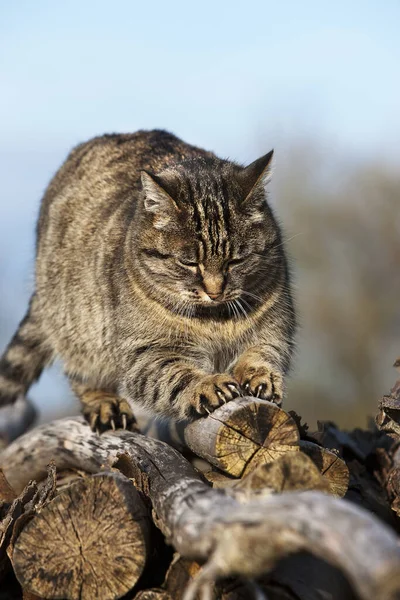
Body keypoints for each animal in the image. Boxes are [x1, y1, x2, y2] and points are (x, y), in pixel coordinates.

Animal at [0, 130, 294, 432]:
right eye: (189, 263)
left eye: (236, 260)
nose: (215, 291)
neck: (215, 320)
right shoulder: (146, 353)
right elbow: (175, 377)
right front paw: (207, 384)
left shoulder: (274, 330)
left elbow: (262, 353)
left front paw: (260, 376)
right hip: (78, 327)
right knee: (83, 375)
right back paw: (105, 403)